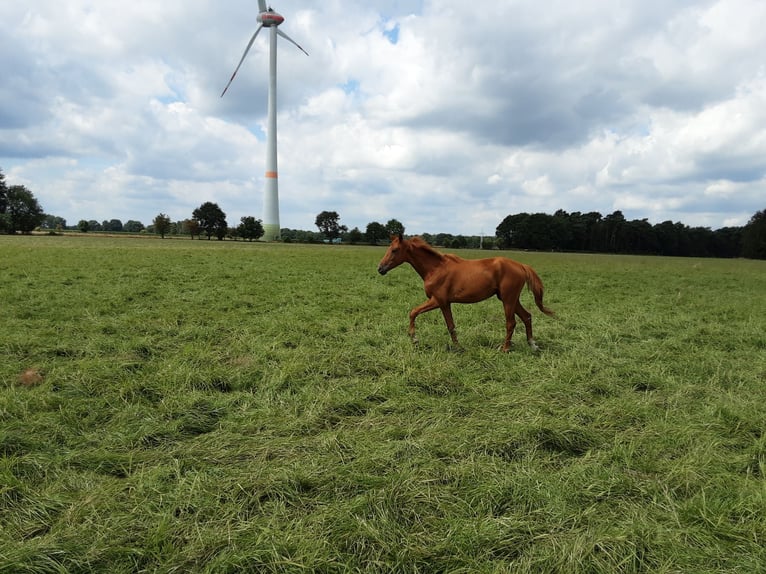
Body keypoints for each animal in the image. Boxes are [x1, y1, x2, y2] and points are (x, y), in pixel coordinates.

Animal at [376, 233, 552, 352]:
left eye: (394, 250)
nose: (380, 269)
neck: (435, 269)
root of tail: (521, 266)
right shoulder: (444, 303)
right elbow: (450, 325)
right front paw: (458, 347)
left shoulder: (438, 300)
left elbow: (415, 313)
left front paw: (414, 339)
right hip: (510, 299)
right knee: (527, 316)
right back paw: (533, 345)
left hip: (508, 300)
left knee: (511, 323)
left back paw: (505, 348)